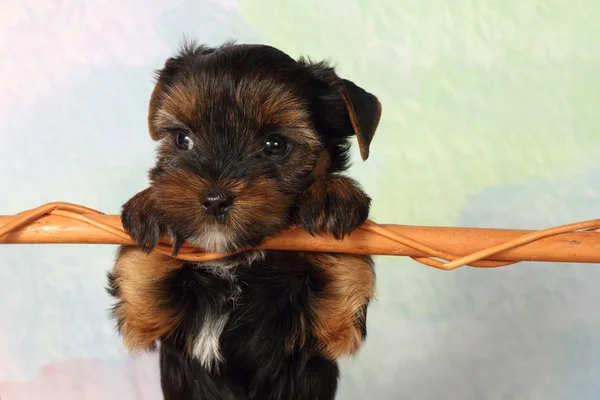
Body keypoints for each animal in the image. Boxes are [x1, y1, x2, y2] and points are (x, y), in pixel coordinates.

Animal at [106, 41, 382, 400]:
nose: (214, 198)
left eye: (275, 145)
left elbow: (346, 277)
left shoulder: (332, 326)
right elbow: (138, 278)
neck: (238, 264)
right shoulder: (147, 316)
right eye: (183, 140)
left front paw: (331, 197)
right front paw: (153, 210)